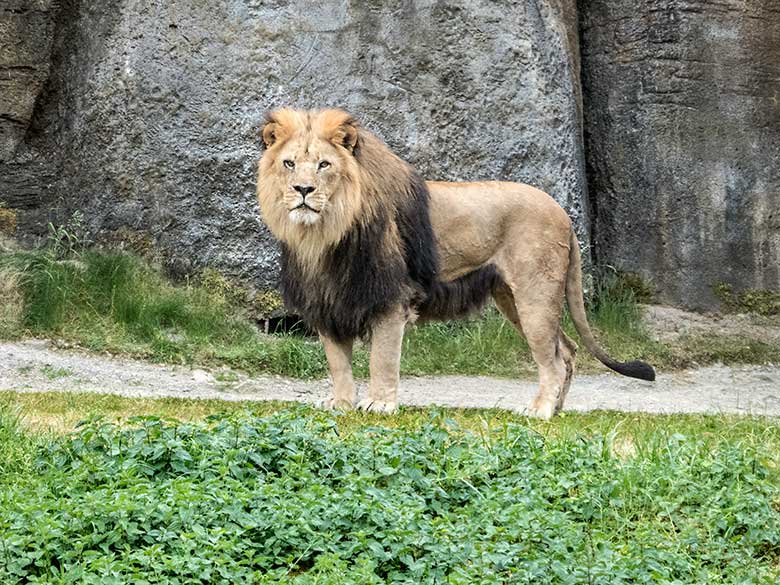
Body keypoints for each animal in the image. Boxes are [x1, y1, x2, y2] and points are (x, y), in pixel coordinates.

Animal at [256, 107, 652, 418]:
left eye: (324, 165)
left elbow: (382, 359)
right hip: (512, 299)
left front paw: (380, 405)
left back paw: (539, 411)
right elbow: (338, 363)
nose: (303, 190)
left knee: (552, 359)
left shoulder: (391, 300)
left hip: (535, 296)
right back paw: (556, 409)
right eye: (289, 163)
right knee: (567, 351)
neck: (322, 236)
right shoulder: (328, 302)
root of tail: (562, 212)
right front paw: (340, 404)